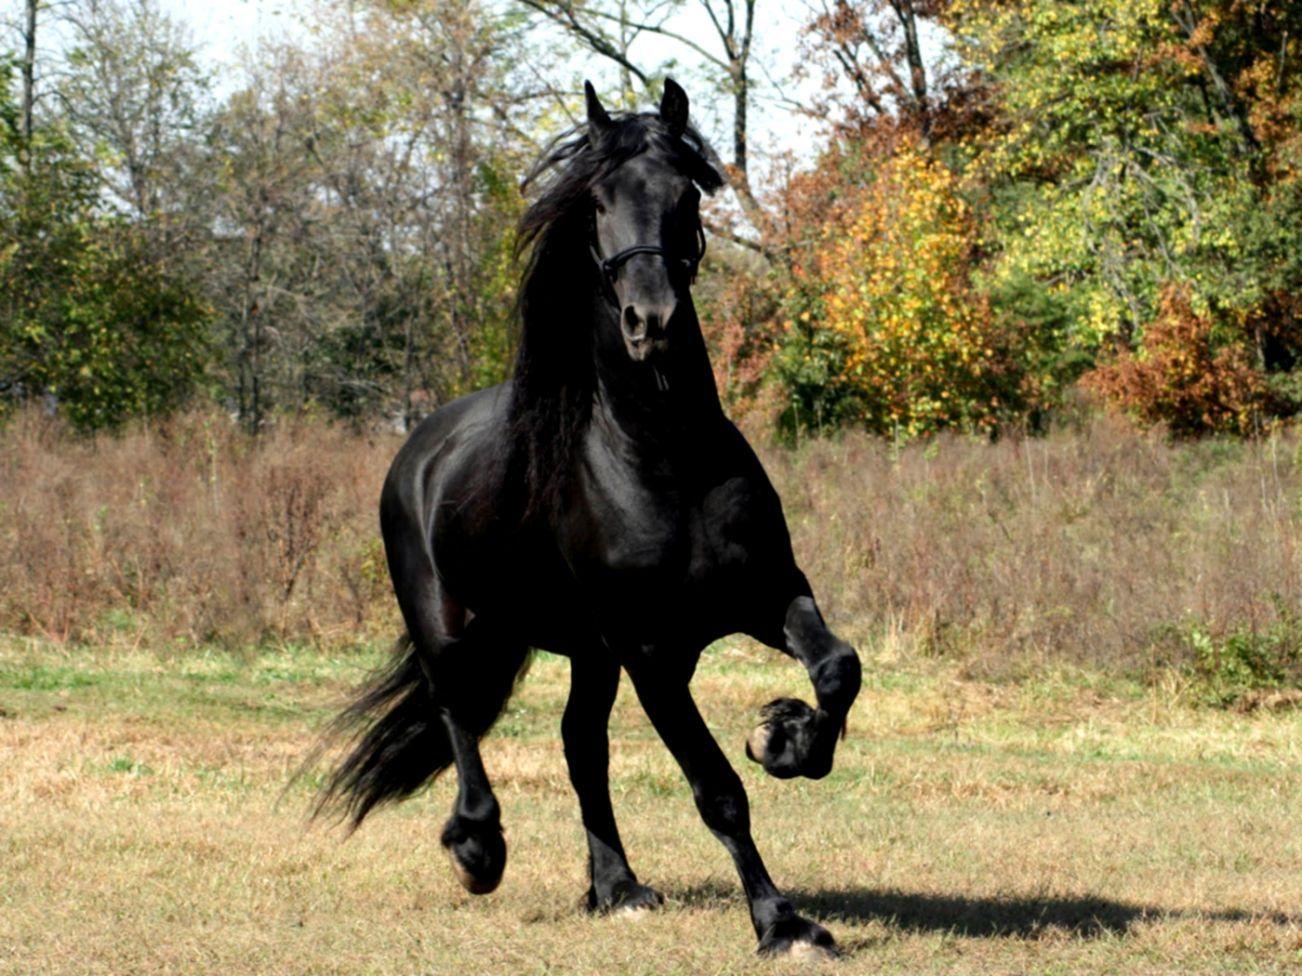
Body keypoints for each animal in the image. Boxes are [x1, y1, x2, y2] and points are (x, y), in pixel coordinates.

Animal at [316, 79, 862, 958]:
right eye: (596, 203)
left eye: (685, 194)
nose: (651, 322)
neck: (665, 457)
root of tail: (419, 448)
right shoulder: (651, 653)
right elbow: (718, 789)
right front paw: (783, 924)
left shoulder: (767, 594)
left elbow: (838, 668)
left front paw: (781, 736)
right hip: (454, 626)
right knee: (458, 709)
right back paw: (478, 848)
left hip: (586, 651)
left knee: (579, 746)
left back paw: (618, 887)